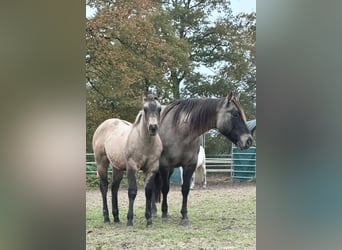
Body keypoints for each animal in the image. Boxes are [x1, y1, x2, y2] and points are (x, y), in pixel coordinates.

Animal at [93, 94, 162, 227]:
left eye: (159, 108)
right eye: (145, 109)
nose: (153, 128)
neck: (145, 143)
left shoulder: (152, 169)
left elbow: (148, 192)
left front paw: (149, 220)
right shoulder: (132, 167)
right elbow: (132, 192)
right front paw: (130, 220)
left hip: (117, 168)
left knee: (114, 188)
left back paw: (116, 217)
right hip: (101, 163)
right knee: (104, 187)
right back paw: (107, 218)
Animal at [154, 92, 252, 225]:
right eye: (235, 114)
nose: (249, 141)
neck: (179, 131)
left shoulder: (189, 165)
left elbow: (185, 189)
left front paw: (184, 216)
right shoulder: (164, 165)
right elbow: (165, 188)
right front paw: (164, 214)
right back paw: (153, 211)